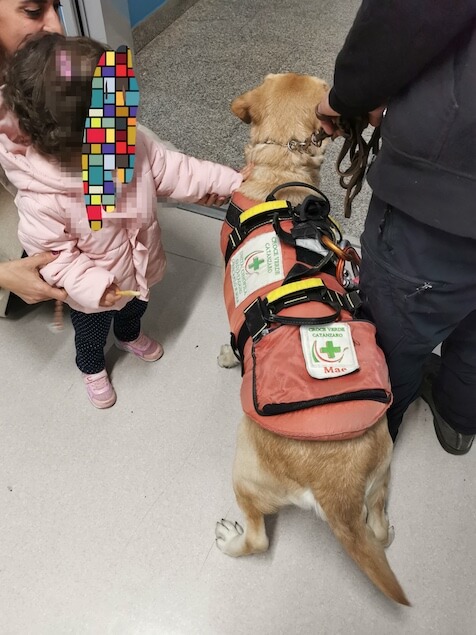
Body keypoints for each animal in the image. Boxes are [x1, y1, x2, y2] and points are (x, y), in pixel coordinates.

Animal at [217, 73, 410, 608]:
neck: (279, 174)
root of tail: (336, 486)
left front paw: (225, 355)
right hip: (382, 473)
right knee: (379, 529)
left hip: (244, 467)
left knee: (258, 540)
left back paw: (230, 538)